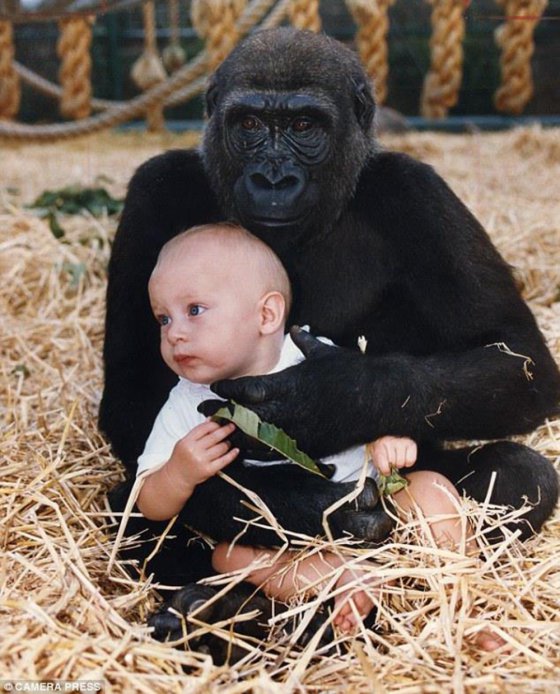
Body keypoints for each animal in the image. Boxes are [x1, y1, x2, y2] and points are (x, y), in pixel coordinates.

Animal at [101, 27, 560, 656]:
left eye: (303, 126)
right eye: (249, 124)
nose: (272, 179)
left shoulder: (419, 192)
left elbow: (517, 359)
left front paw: (333, 397)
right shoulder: (154, 188)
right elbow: (133, 398)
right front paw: (307, 508)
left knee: (520, 473)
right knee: (132, 504)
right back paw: (225, 616)